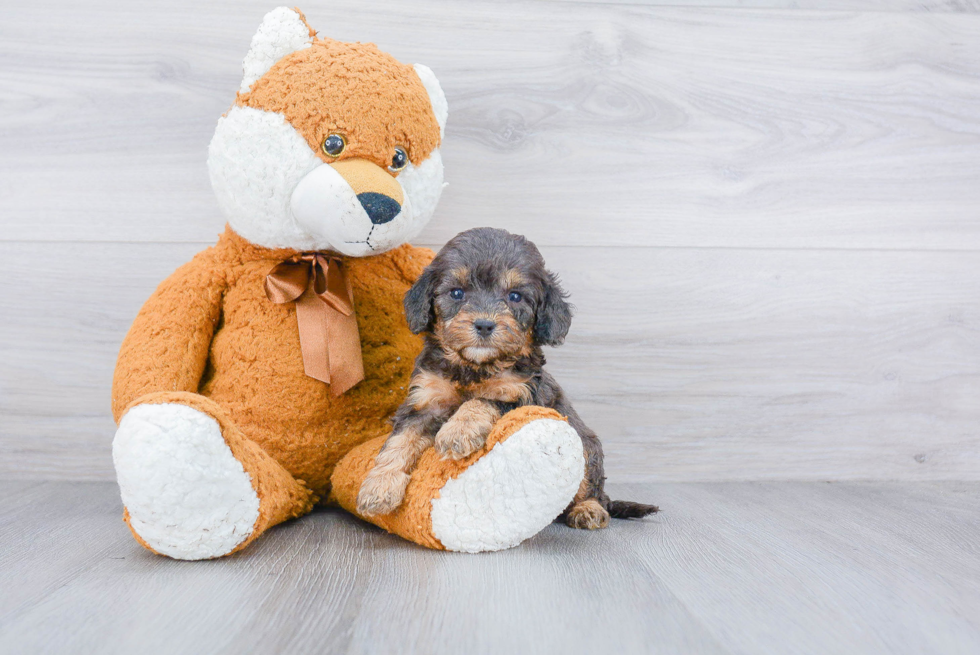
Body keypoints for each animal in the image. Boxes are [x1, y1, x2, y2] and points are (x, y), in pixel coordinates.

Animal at [354, 228, 660, 532]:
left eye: (515, 296)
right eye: (457, 293)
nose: (484, 325)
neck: (474, 367)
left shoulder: (521, 395)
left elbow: (482, 400)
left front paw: (458, 431)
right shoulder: (425, 401)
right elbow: (399, 441)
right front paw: (378, 487)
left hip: (586, 445)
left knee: (591, 487)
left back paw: (589, 510)